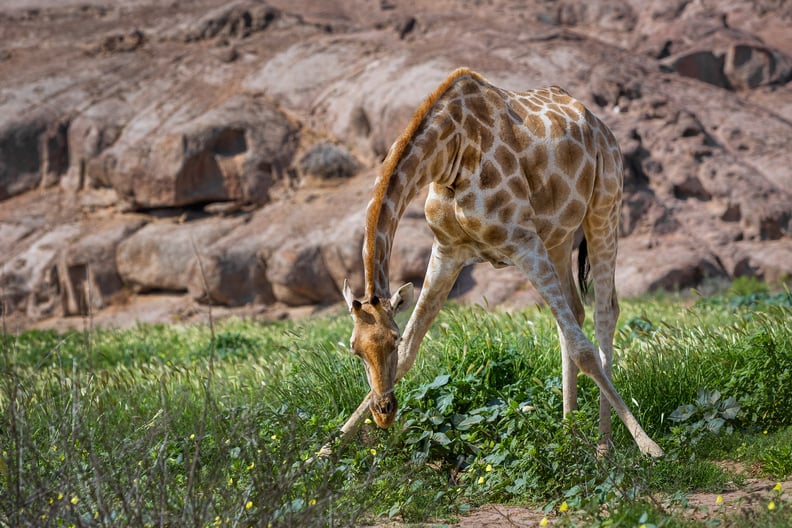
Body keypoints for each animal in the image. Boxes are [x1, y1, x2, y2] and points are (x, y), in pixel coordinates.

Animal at [338, 68, 664, 458]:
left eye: (391, 337)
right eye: (355, 349)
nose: (384, 412)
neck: (449, 153)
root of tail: (601, 127)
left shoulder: (521, 241)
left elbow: (584, 351)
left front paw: (650, 446)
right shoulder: (448, 250)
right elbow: (412, 349)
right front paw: (325, 450)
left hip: (605, 207)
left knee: (604, 313)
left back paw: (604, 442)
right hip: (557, 237)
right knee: (572, 314)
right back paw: (569, 432)